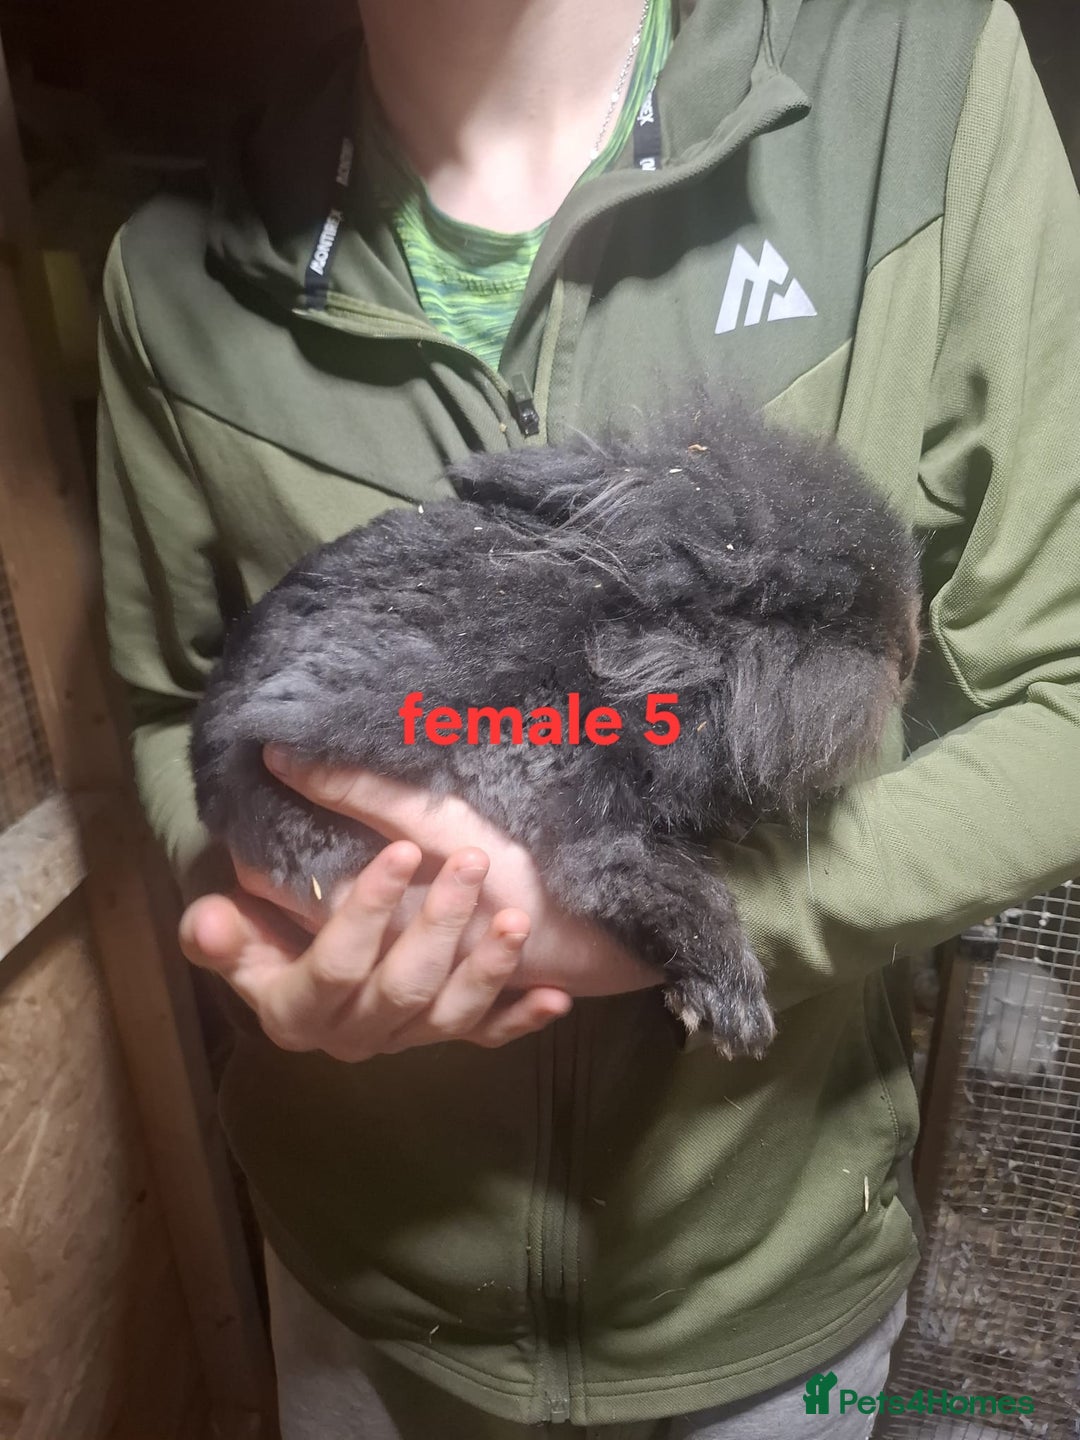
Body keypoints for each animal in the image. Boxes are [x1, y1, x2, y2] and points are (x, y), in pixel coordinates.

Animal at [191, 409, 921, 1058]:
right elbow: (667, 889)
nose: (912, 650)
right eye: (812, 611)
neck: (610, 645)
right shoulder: (578, 817)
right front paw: (737, 1014)